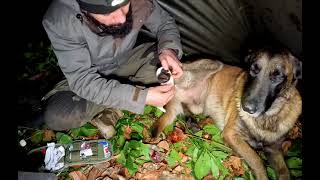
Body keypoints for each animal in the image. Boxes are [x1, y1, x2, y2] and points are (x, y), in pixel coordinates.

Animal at [152, 46, 302, 180]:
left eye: (277, 76)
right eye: (252, 70)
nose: (246, 108)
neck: (266, 118)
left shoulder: (274, 150)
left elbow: (284, 172)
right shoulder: (232, 135)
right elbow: (257, 161)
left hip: (198, 106)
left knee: (184, 105)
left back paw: (191, 122)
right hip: (213, 63)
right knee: (176, 75)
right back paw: (165, 75)